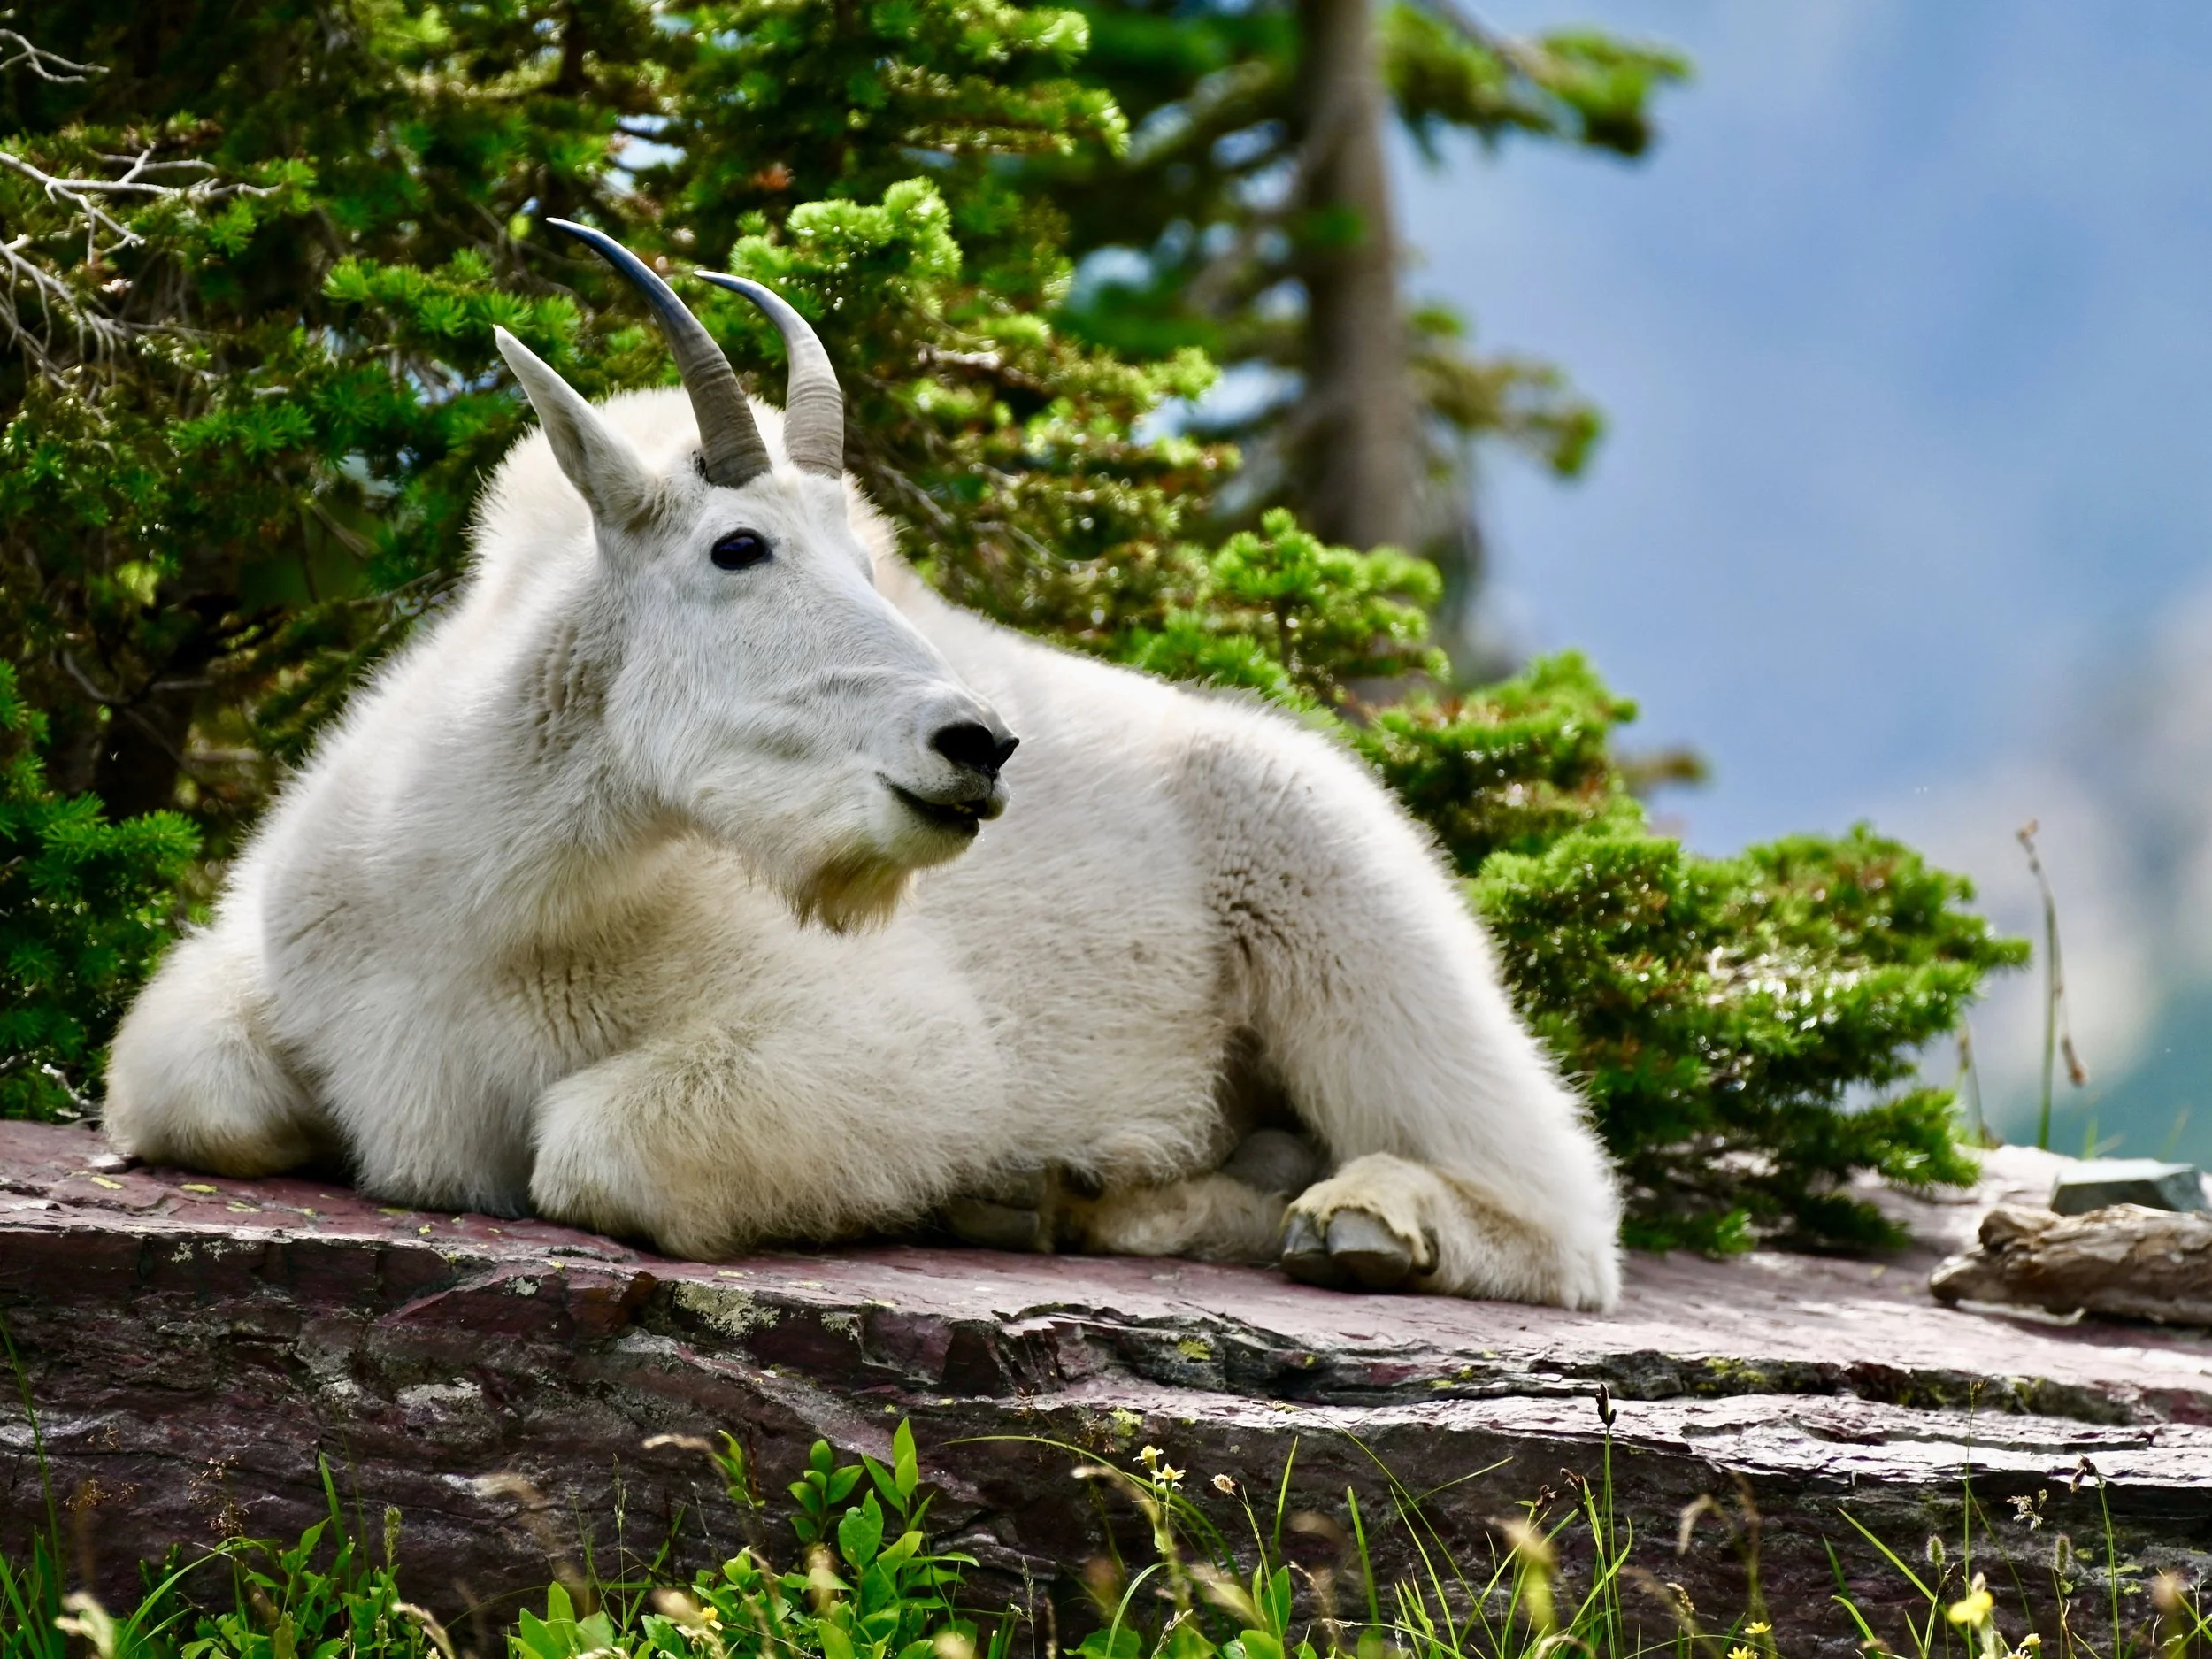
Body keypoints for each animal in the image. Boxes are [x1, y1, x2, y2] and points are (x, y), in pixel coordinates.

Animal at [104, 224, 1623, 1308]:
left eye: (870, 559)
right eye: (740, 546)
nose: (979, 745)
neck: (478, 893)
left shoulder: (892, 1045)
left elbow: (591, 1144)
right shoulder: (243, 988)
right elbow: (182, 1088)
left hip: (1342, 900)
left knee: (1560, 1209)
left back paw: (1361, 1218)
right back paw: (1077, 1200)